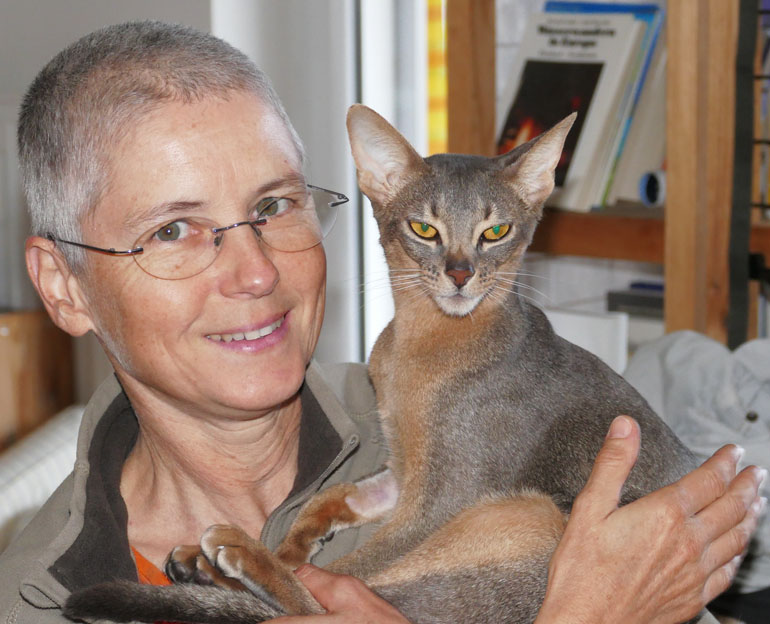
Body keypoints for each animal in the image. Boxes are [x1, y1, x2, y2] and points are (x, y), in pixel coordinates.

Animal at [63, 105, 692, 620]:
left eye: (495, 231)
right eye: (424, 228)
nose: (460, 274)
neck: (419, 346)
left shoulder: (440, 502)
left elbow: (349, 572)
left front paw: (274, 556)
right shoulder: (403, 471)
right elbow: (338, 494)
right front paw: (292, 543)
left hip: (534, 517)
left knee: (330, 605)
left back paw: (237, 556)